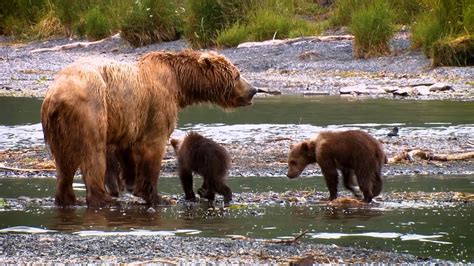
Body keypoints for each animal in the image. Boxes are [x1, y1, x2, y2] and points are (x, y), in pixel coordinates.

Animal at [40, 50, 256, 208]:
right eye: (237, 74)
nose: (253, 90)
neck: (179, 83)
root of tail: (54, 95)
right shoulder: (157, 106)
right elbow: (152, 148)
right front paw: (158, 197)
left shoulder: (130, 120)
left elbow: (127, 152)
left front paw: (131, 183)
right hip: (91, 109)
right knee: (93, 154)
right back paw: (105, 200)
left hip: (59, 127)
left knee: (64, 163)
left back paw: (67, 200)